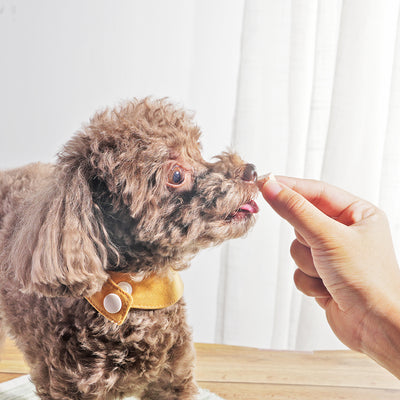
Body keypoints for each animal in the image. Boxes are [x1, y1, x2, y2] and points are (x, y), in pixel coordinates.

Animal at [0, 97, 260, 400]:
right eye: (176, 174)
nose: (251, 171)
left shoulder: (173, 379)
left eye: (198, 152)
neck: (137, 290)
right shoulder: (71, 387)